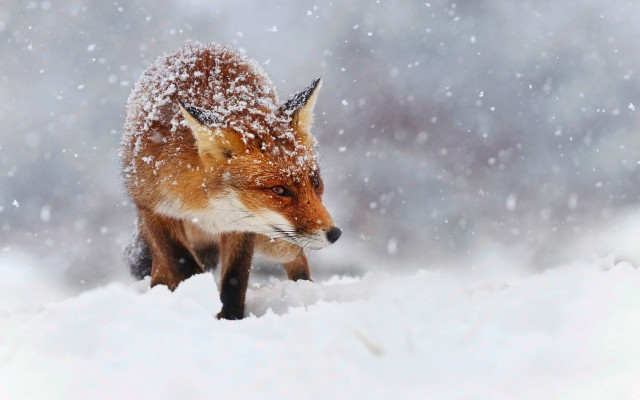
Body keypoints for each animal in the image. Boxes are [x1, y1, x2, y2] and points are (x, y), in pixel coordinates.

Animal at [121, 42, 341, 320]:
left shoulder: (242, 227)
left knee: (298, 260)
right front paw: (198, 304)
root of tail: (201, 46)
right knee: (160, 267)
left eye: (315, 181)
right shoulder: (153, 210)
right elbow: (183, 267)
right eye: (278, 189)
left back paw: (304, 293)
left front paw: (231, 318)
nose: (335, 233)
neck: (205, 205)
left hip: (276, 241)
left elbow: (235, 279)